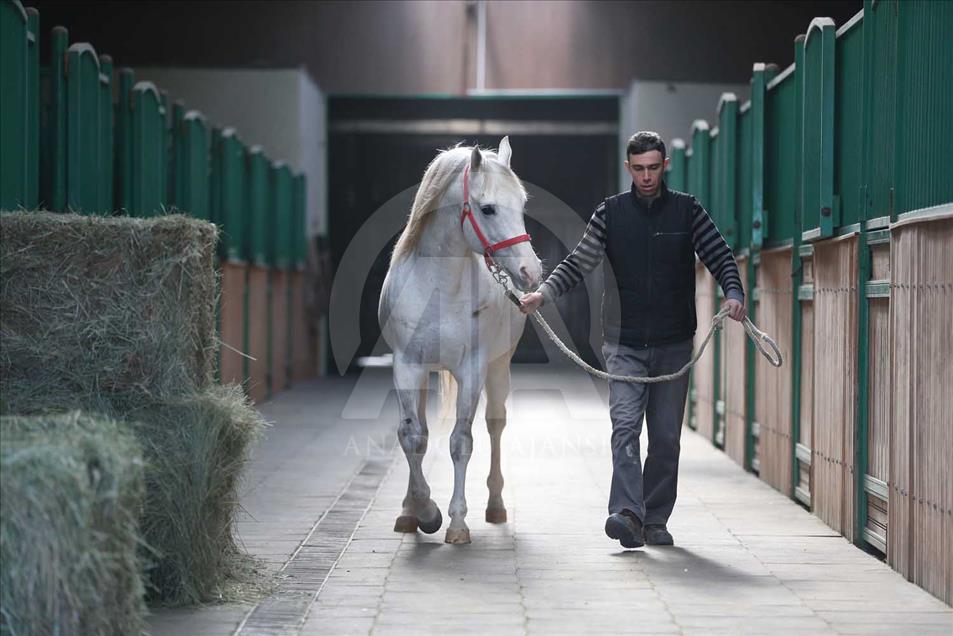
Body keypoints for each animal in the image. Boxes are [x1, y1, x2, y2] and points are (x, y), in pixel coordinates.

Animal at [378, 138, 543, 544]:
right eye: (488, 208)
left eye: (522, 205)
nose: (531, 272)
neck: (438, 287)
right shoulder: (407, 366)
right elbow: (412, 437)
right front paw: (421, 511)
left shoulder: (472, 369)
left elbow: (460, 442)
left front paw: (454, 522)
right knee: (420, 428)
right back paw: (408, 511)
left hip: (498, 368)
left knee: (495, 426)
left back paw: (496, 507)